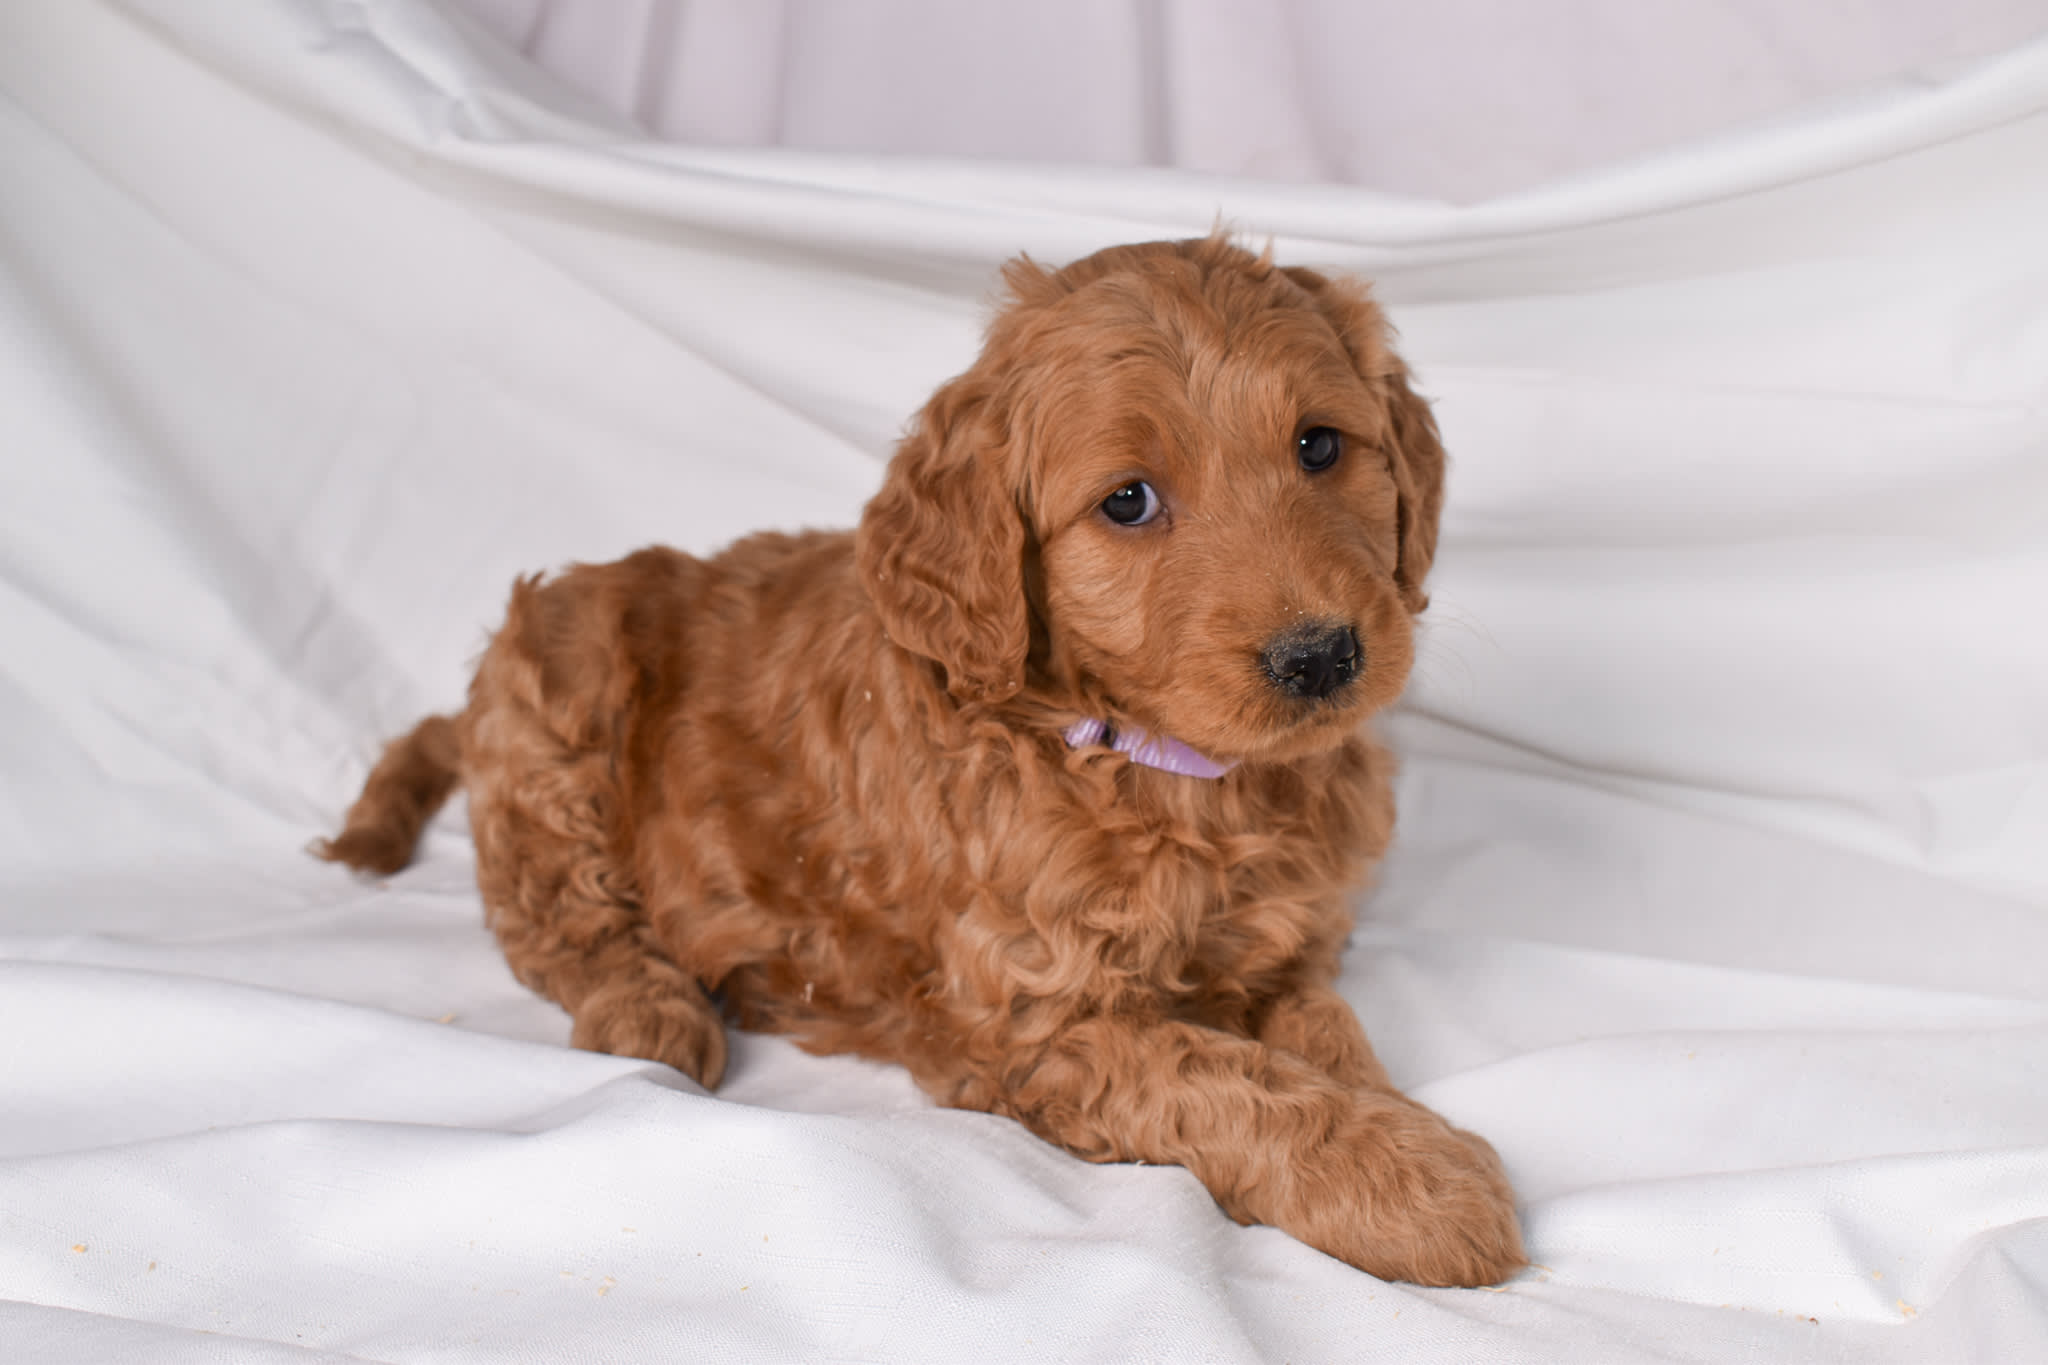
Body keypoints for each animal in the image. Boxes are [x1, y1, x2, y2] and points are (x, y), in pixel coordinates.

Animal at [323, 237, 1523, 1293]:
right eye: (1128, 501)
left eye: (1320, 447)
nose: (1321, 656)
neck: (1164, 768)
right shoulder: (1034, 1026)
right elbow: (1227, 1080)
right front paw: (1419, 1186)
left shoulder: (1296, 948)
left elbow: (1325, 1038)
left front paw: (1398, 1127)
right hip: (564, 680)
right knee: (551, 921)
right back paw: (650, 1007)